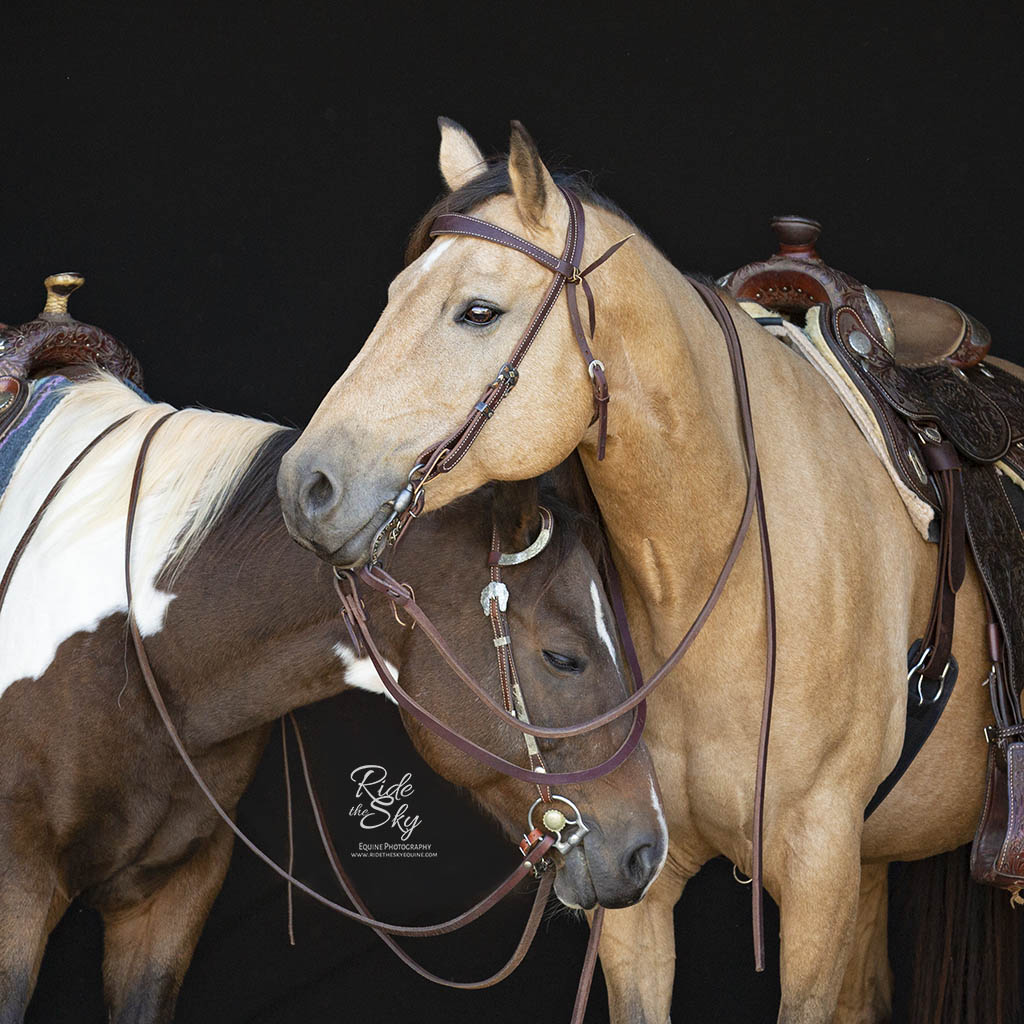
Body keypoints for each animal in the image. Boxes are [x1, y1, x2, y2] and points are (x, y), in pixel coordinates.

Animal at [278, 121, 1024, 1024]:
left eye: (478, 311)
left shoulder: (816, 873)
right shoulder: (634, 869)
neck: (716, 584)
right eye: (393, 297)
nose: (305, 485)